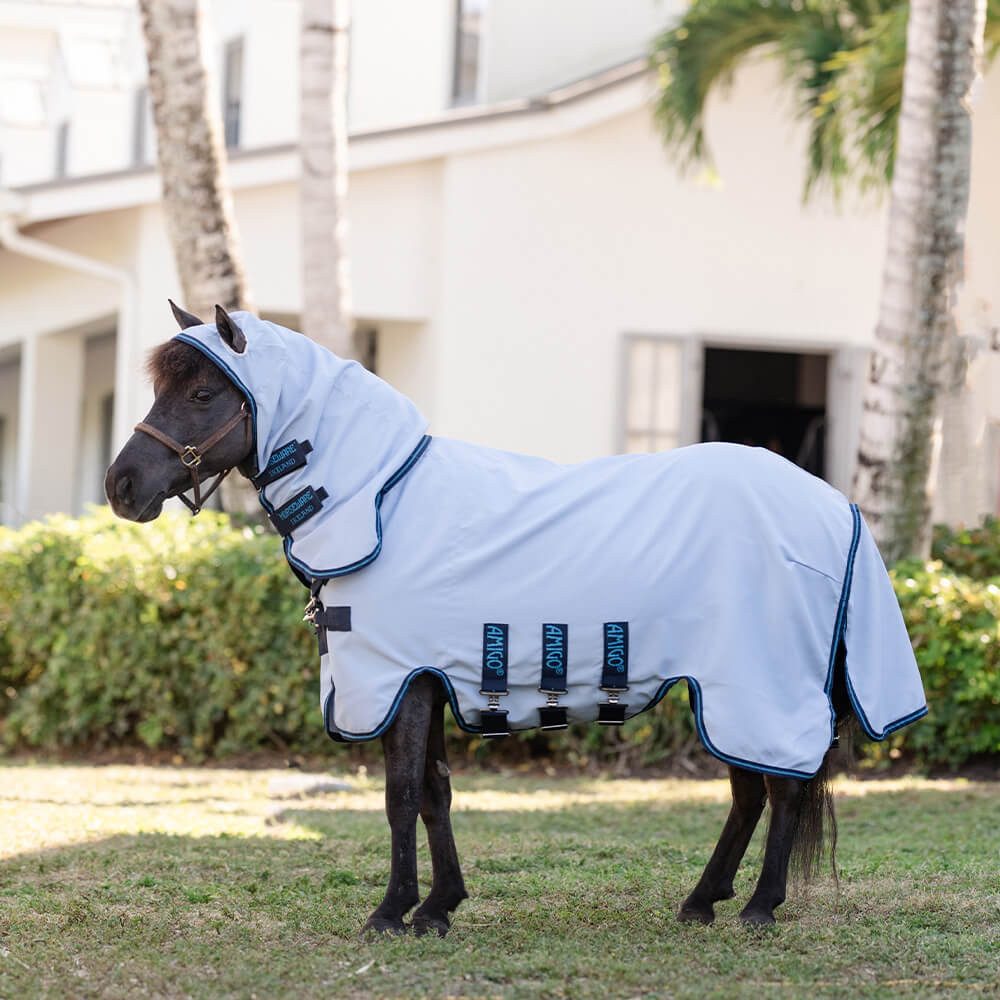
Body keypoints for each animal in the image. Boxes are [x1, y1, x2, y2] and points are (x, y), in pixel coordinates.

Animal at [105, 303, 927, 935]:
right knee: (751, 792)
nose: (122, 486)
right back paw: (702, 902)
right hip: (724, 688)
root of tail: (834, 504)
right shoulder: (429, 679)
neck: (385, 501)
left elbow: (401, 796)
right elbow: (434, 792)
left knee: (782, 787)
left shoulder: (399, 682)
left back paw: (759, 907)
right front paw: (438, 907)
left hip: (757, 685)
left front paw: (391, 912)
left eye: (203, 392)